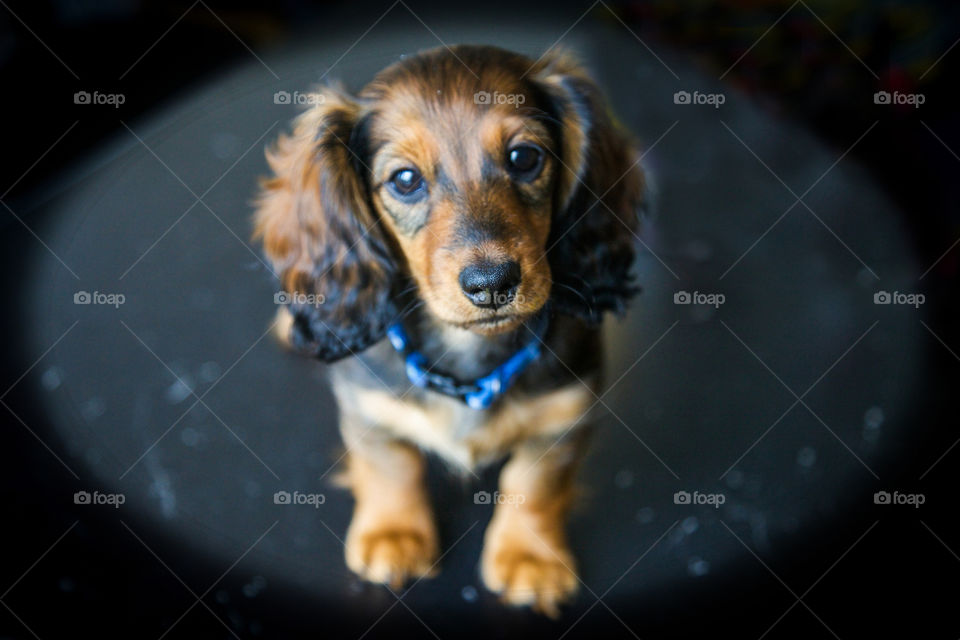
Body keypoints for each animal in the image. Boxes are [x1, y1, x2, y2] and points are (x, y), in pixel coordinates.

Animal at [255, 45, 644, 616]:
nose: (492, 284)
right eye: (405, 180)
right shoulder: (366, 406)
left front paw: (530, 556)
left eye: (524, 158)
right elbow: (392, 466)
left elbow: (534, 482)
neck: (468, 354)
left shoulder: (566, 415)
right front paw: (394, 535)